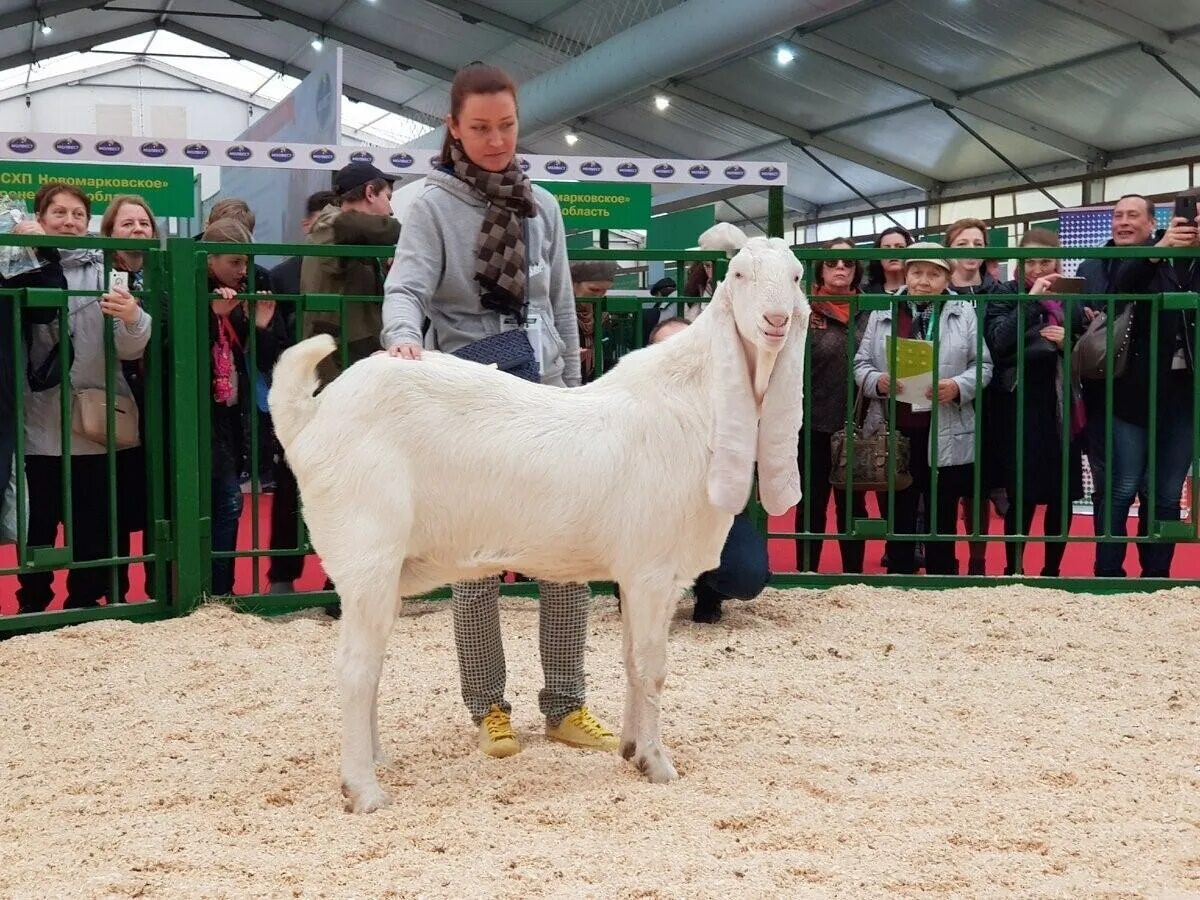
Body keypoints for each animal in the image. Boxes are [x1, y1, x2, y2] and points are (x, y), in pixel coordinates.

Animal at [268, 225, 811, 816]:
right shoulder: (652, 571)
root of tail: (310, 417)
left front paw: (629, 748)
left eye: (796, 276)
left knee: (370, 665)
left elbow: (630, 661)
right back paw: (363, 790)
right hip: (367, 552)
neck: (693, 403)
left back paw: (376, 760)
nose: (776, 321)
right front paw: (657, 763)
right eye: (739, 275)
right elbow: (652, 668)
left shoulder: (637, 577)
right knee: (354, 670)